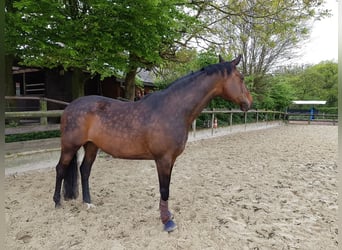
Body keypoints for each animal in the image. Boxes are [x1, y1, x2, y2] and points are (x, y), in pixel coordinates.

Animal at [52, 54, 251, 232]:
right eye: (241, 77)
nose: (249, 102)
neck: (173, 109)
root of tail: (69, 107)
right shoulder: (163, 159)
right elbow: (164, 189)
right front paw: (167, 222)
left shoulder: (171, 160)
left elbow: (167, 188)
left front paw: (168, 215)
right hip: (70, 146)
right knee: (61, 169)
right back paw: (57, 202)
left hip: (92, 145)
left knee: (84, 170)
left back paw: (88, 203)